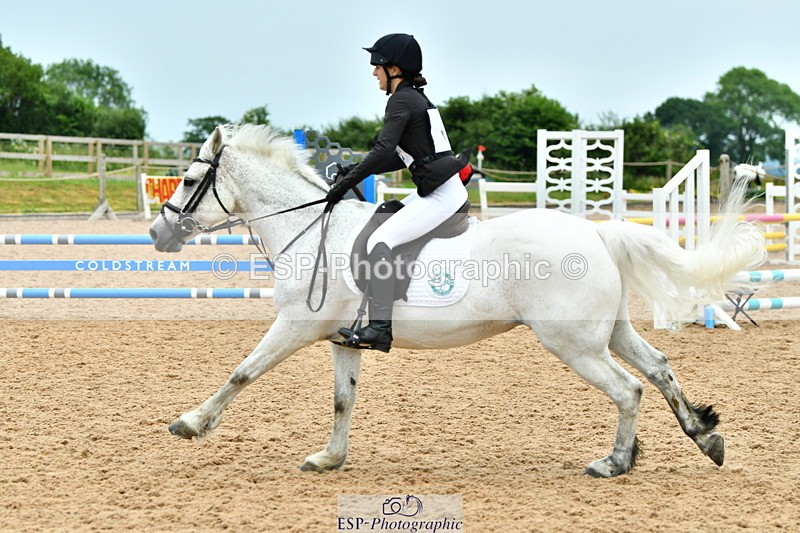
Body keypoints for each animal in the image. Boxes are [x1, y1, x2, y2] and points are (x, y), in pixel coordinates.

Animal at [149, 124, 766, 478]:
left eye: (187, 181)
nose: (158, 234)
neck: (309, 230)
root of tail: (596, 234)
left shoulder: (295, 326)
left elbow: (241, 373)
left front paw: (190, 423)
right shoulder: (341, 341)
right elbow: (343, 401)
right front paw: (330, 459)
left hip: (574, 344)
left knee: (628, 388)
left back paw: (614, 463)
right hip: (607, 332)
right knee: (658, 368)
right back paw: (705, 436)